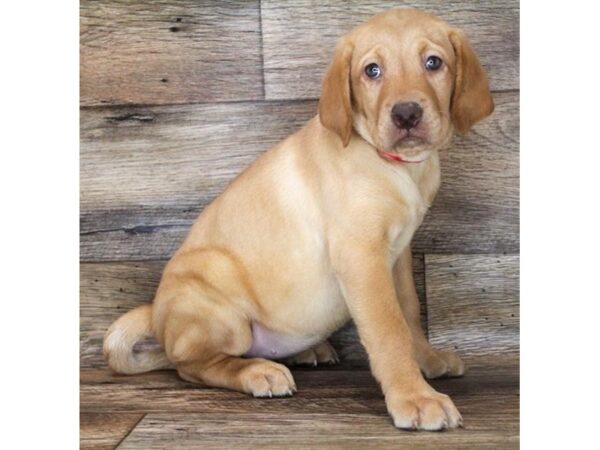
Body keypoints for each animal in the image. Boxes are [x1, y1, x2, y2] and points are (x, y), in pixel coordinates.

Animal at [105, 7, 494, 428]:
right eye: (372, 71)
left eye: (433, 63)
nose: (406, 114)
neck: (396, 166)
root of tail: (157, 314)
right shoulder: (361, 255)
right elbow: (389, 329)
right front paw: (415, 398)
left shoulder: (398, 254)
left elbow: (408, 310)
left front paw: (427, 359)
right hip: (218, 300)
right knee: (190, 364)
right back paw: (258, 371)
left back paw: (307, 351)